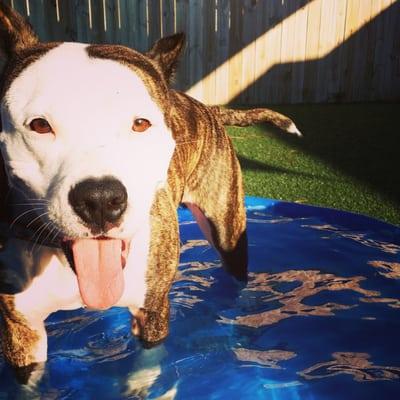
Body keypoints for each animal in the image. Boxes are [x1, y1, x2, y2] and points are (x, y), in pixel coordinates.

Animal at [0, 2, 300, 376]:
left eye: (140, 124)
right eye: (40, 125)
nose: (101, 199)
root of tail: (204, 107)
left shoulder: (153, 310)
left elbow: (147, 367)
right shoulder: (20, 331)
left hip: (229, 230)